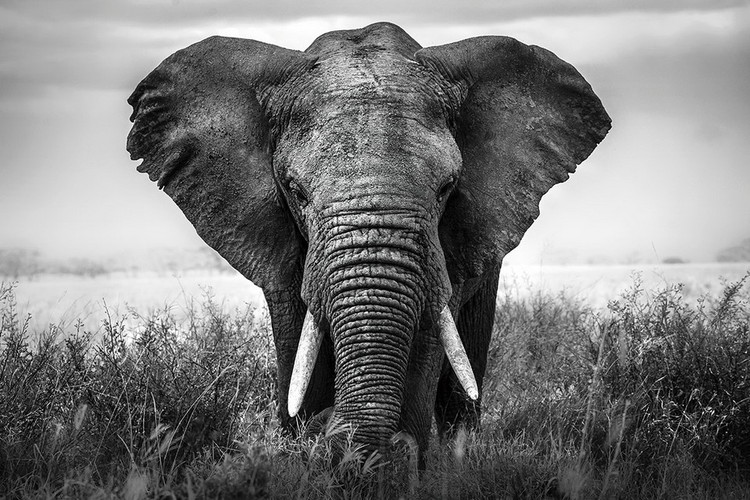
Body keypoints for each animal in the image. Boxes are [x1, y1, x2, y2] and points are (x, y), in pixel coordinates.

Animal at [126, 22, 610, 459]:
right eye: (295, 191)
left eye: (447, 187)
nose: (332, 431)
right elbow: (297, 343)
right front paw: (309, 447)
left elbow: (428, 339)